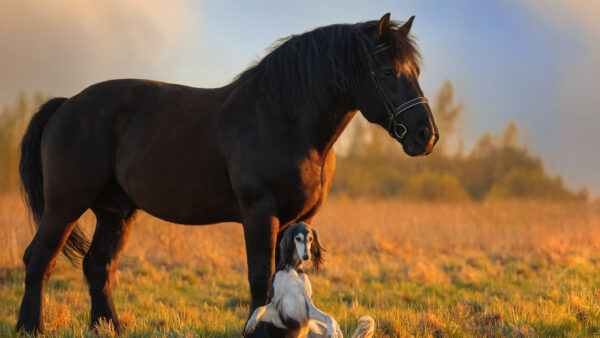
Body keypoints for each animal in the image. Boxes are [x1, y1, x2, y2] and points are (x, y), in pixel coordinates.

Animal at [16, 12, 438, 332]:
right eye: (387, 71)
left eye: (416, 70)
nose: (426, 135)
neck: (282, 118)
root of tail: (66, 104)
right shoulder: (259, 213)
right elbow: (260, 277)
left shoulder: (295, 220)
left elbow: (283, 277)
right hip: (65, 205)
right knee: (40, 259)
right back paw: (31, 327)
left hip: (114, 212)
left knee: (98, 266)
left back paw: (109, 328)